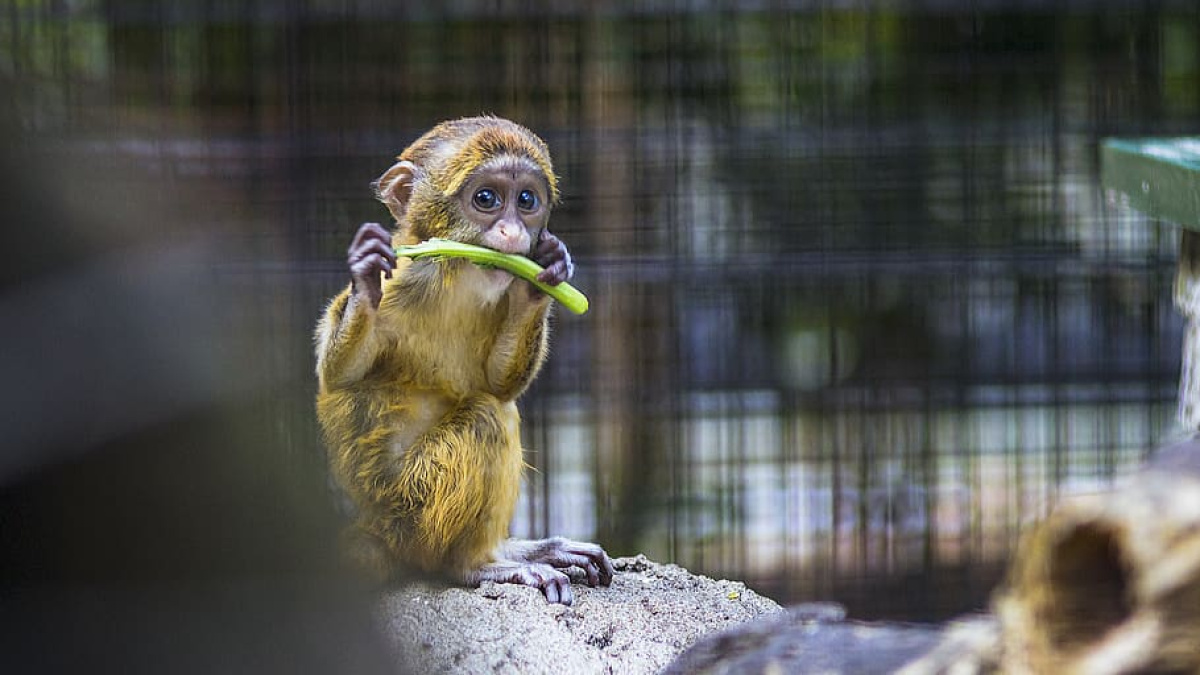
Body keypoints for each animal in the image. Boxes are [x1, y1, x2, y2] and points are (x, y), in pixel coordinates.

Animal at [314, 112, 614, 600]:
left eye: (526, 200)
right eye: (486, 199)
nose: (513, 231)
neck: (454, 275)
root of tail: (377, 528)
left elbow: (498, 383)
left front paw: (544, 274)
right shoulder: (404, 279)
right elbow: (340, 376)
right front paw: (365, 279)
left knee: (496, 407)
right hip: (412, 509)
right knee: (486, 418)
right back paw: (472, 565)